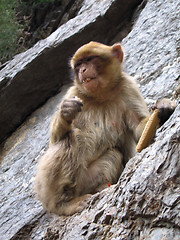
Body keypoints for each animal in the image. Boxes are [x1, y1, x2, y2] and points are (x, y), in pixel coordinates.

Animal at [34, 41, 176, 216]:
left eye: (89, 59)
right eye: (78, 64)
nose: (82, 70)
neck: (101, 95)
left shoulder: (128, 87)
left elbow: (139, 130)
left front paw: (164, 108)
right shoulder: (73, 92)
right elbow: (55, 141)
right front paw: (65, 112)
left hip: (87, 181)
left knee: (113, 154)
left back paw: (100, 187)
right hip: (49, 189)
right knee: (70, 139)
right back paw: (64, 204)